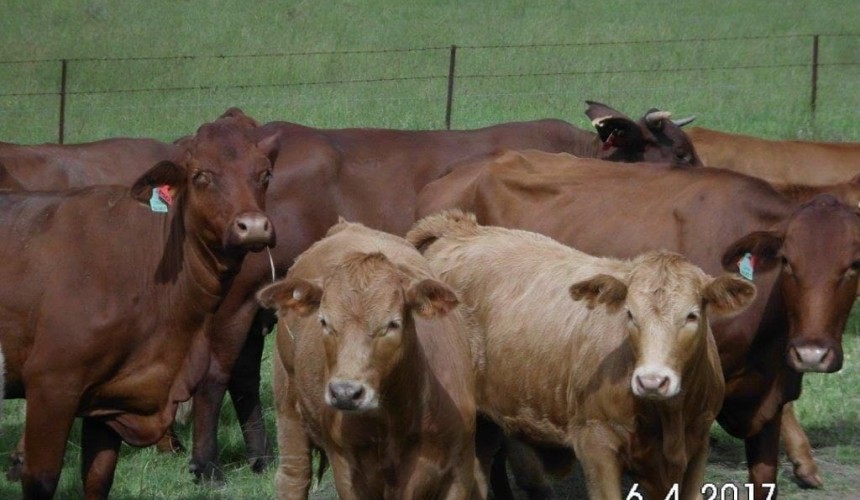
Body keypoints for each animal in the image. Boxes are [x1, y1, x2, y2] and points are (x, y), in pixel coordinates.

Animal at [0, 112, 278, 499]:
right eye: (201, 175)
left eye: (265, 174)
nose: (252, 227)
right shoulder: (50, 385)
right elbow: (41, 479)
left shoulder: (109, 396)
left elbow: (99, 478)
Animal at [255, 220, 479, 499]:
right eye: (324, 321)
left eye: (393, 323)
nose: (345, 392)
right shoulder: (347, 471)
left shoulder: (459, 469)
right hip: (287, 405)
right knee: (293, 477)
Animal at [406, 210, 754, 500]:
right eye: (630, 314)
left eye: (692, 315)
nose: (652, 381)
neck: (668, 418)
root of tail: (462, 229)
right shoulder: (596, 443)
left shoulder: (697, 447)